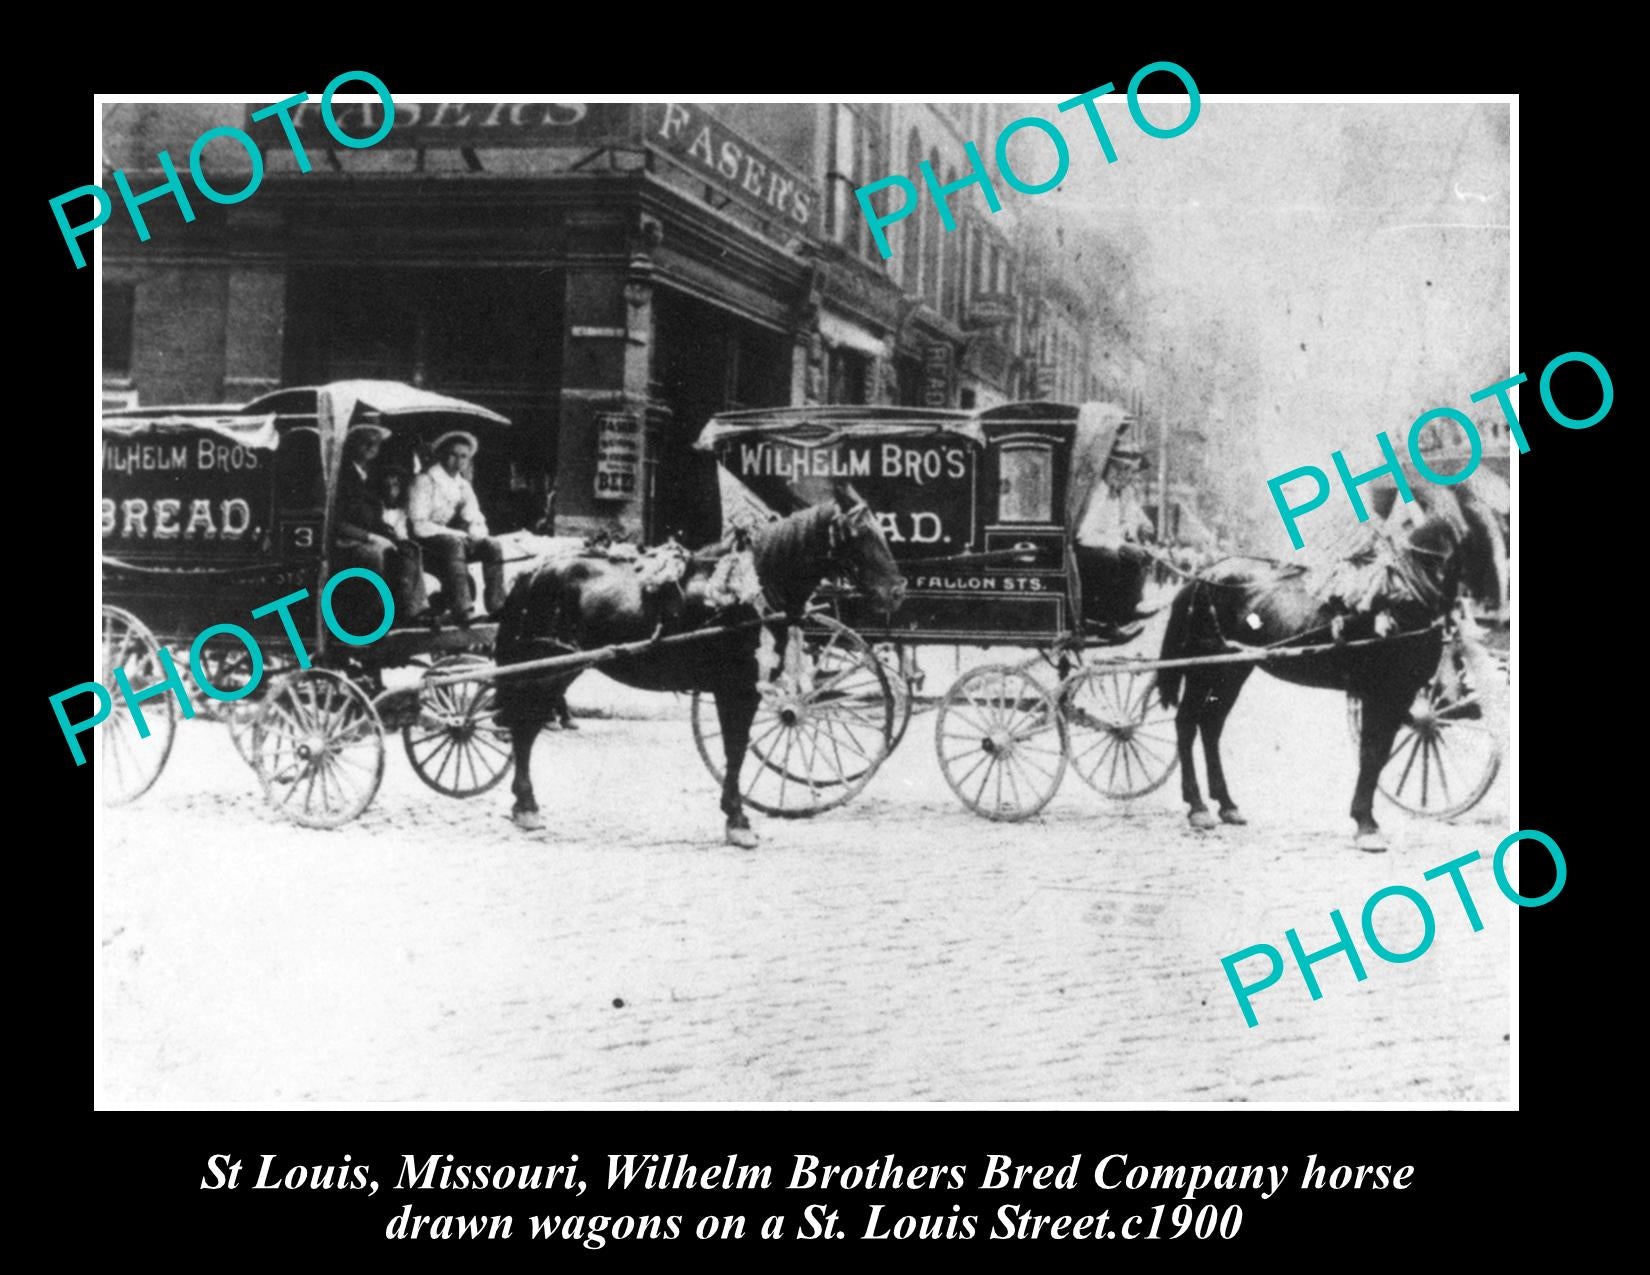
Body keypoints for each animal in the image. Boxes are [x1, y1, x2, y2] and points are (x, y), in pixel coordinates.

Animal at [491, 481, 904, 851]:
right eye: (859, 534)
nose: (898, 591)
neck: (749, 590)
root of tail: (534, 572)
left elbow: (736, 749)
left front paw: (735, 814)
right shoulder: (736, 689)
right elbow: (735, 750)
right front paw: (737, 820)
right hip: (548, 669)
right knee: (524, 729)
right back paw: (526, 805)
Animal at [1161, 475, 1511, 844]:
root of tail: (1204, 575)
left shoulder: (1399, 694)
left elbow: (1379, 752)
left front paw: (1366, 819)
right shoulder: (1378, 692)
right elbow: (1371, 752)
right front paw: (1365, 825)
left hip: (1233, 670)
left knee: (1211, 725)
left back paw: (1227, 804)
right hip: (1203, 667)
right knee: (1187, 723)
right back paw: (1197, 806)